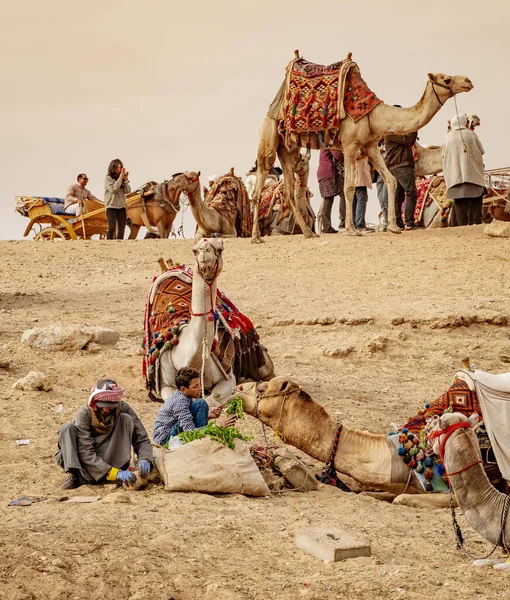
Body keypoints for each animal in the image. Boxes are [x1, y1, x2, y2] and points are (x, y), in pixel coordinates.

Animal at [155, 238, 274, 404]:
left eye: (220, 248)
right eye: (194, 250)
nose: (205, 250)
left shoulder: (227, 377)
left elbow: (213, 399)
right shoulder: (165, 384)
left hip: (262, 365)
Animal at [252, 49, 474, 241]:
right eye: (446, 79)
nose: (468, 81)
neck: (374, 116)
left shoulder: (371, 146)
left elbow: (391, 179)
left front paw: (393, 227)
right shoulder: (350, 146)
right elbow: (349, 187)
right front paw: (352, 230)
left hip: (289, 148)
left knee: (289, 190)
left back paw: (309, 233)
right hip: (269, 134)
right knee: (261, 179)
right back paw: (256, 237)